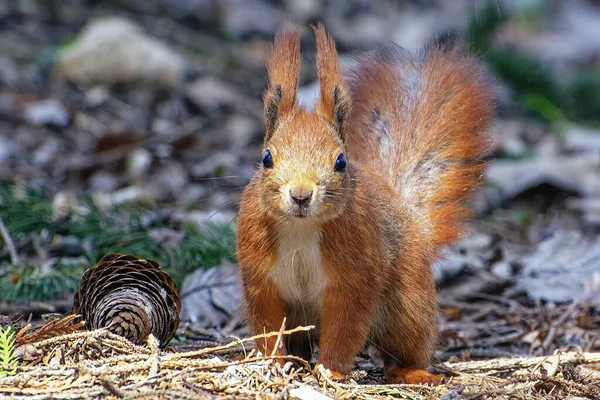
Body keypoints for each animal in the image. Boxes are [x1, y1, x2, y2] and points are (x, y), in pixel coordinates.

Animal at [237, 24, 494, 384]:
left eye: (341, 162)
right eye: (266, 158)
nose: (301, 195)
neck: (302, 230)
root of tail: (410, 218)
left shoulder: (356, 275)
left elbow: (346, 326)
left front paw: (330, 369)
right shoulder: (261, 277)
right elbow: (267, 324)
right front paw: (272, 362)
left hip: (407, 308)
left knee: (402, 350)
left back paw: (413, 373)